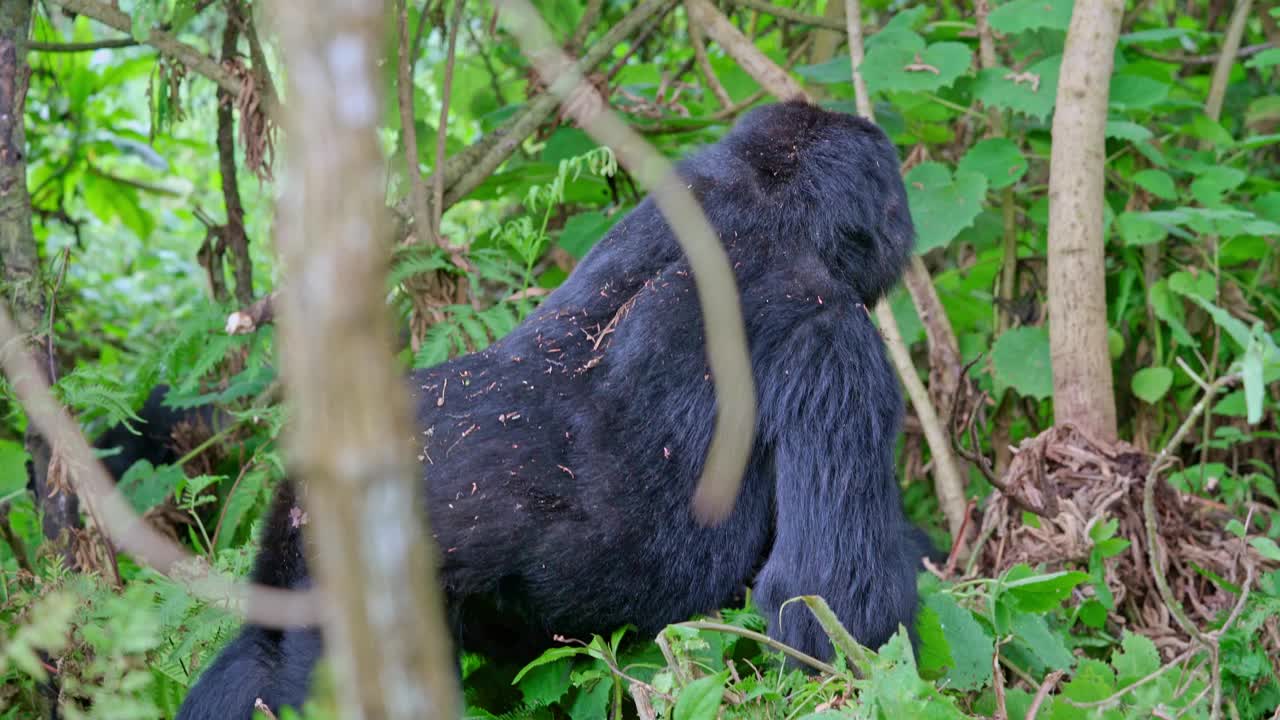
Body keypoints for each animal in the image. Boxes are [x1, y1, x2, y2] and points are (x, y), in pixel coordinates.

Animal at [177, 102, 921, 717]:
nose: (904, 232)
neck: (771, 209)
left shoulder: (686, 187)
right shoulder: (835, 341)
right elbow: (827, 601)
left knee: (257, 661)